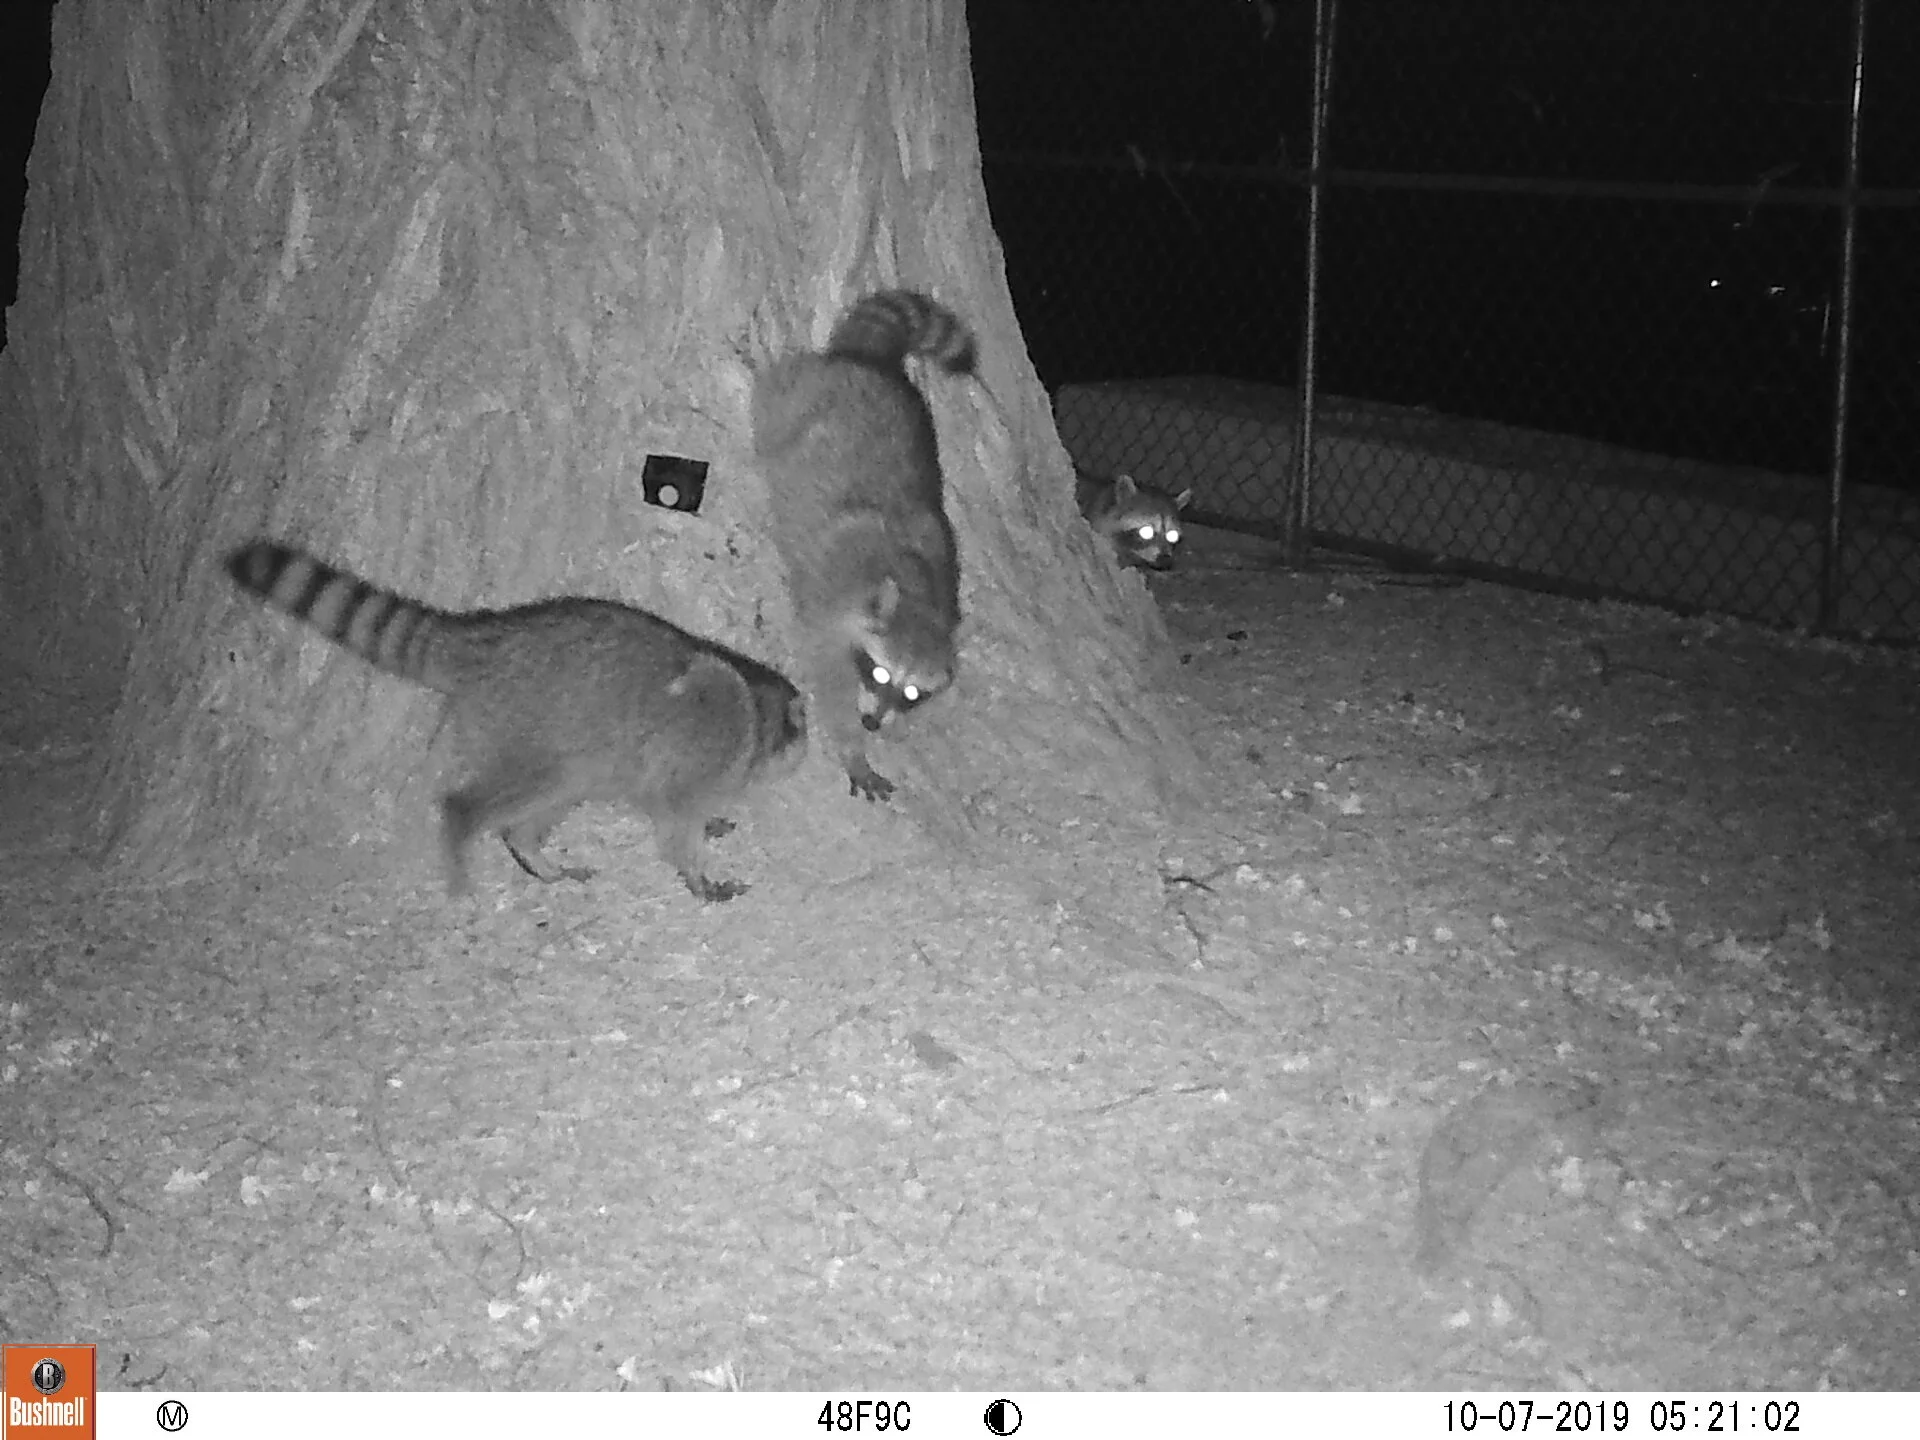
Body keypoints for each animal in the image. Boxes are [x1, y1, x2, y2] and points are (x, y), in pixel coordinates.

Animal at [224, 541, 807, 902]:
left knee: (537, 810)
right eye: (800, 736)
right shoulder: (701, 753)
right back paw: (465, 843)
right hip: (528, 732)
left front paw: (713, 826)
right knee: (476, 803)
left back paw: (532, 852)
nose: (807, 755)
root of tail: (485, 638)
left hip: (572, 754)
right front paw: (698, 872)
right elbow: (675, 824)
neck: (760, 707)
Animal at [751, 289, 976, 803]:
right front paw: (852, 748)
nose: (872, 724)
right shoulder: (832, 608)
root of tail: (870, 366)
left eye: (911, 693)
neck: (918, 599)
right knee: (776, 398)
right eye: (879, 673)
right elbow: (827, 678)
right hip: (807, 397)